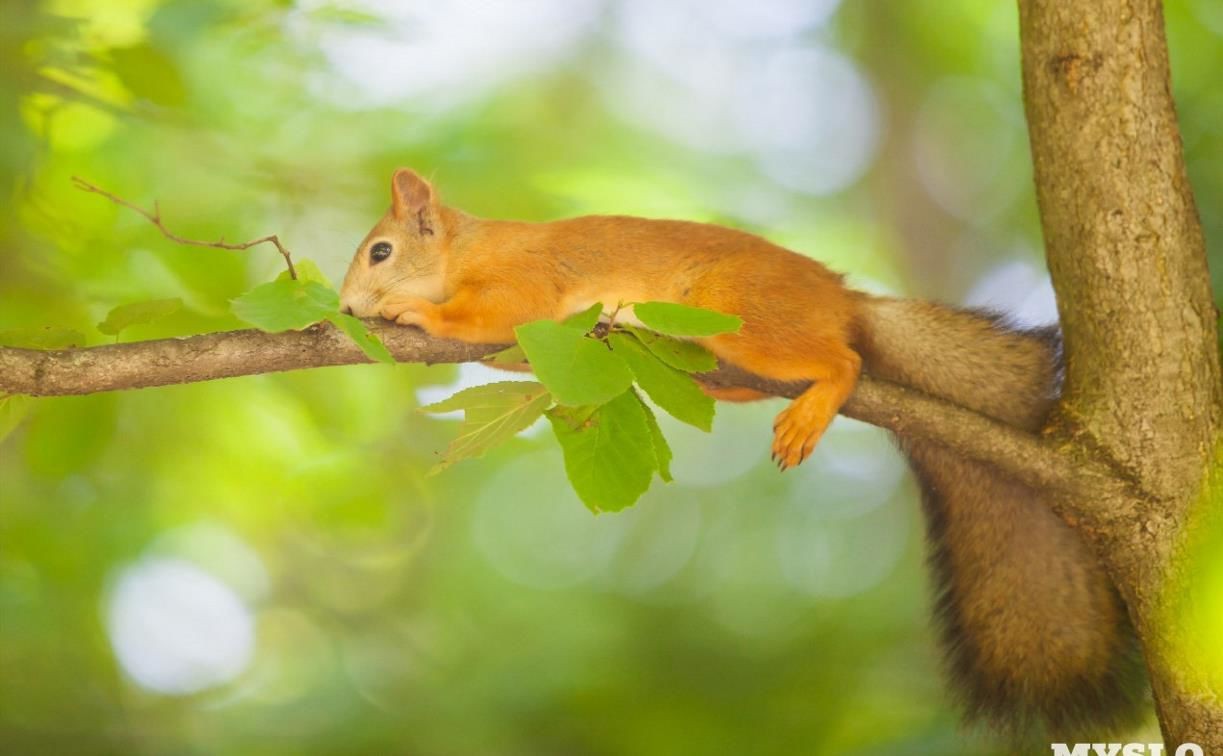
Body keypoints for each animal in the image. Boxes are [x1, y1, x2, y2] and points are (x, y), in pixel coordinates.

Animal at [337, 167, 1144, 733]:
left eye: (381, 251)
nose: (345, 307)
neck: (472, 245)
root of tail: (842, 298)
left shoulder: (521, 283)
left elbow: (491, 315)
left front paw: (413, 311)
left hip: (740, 312)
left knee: (843, 360)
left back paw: (816, 401)